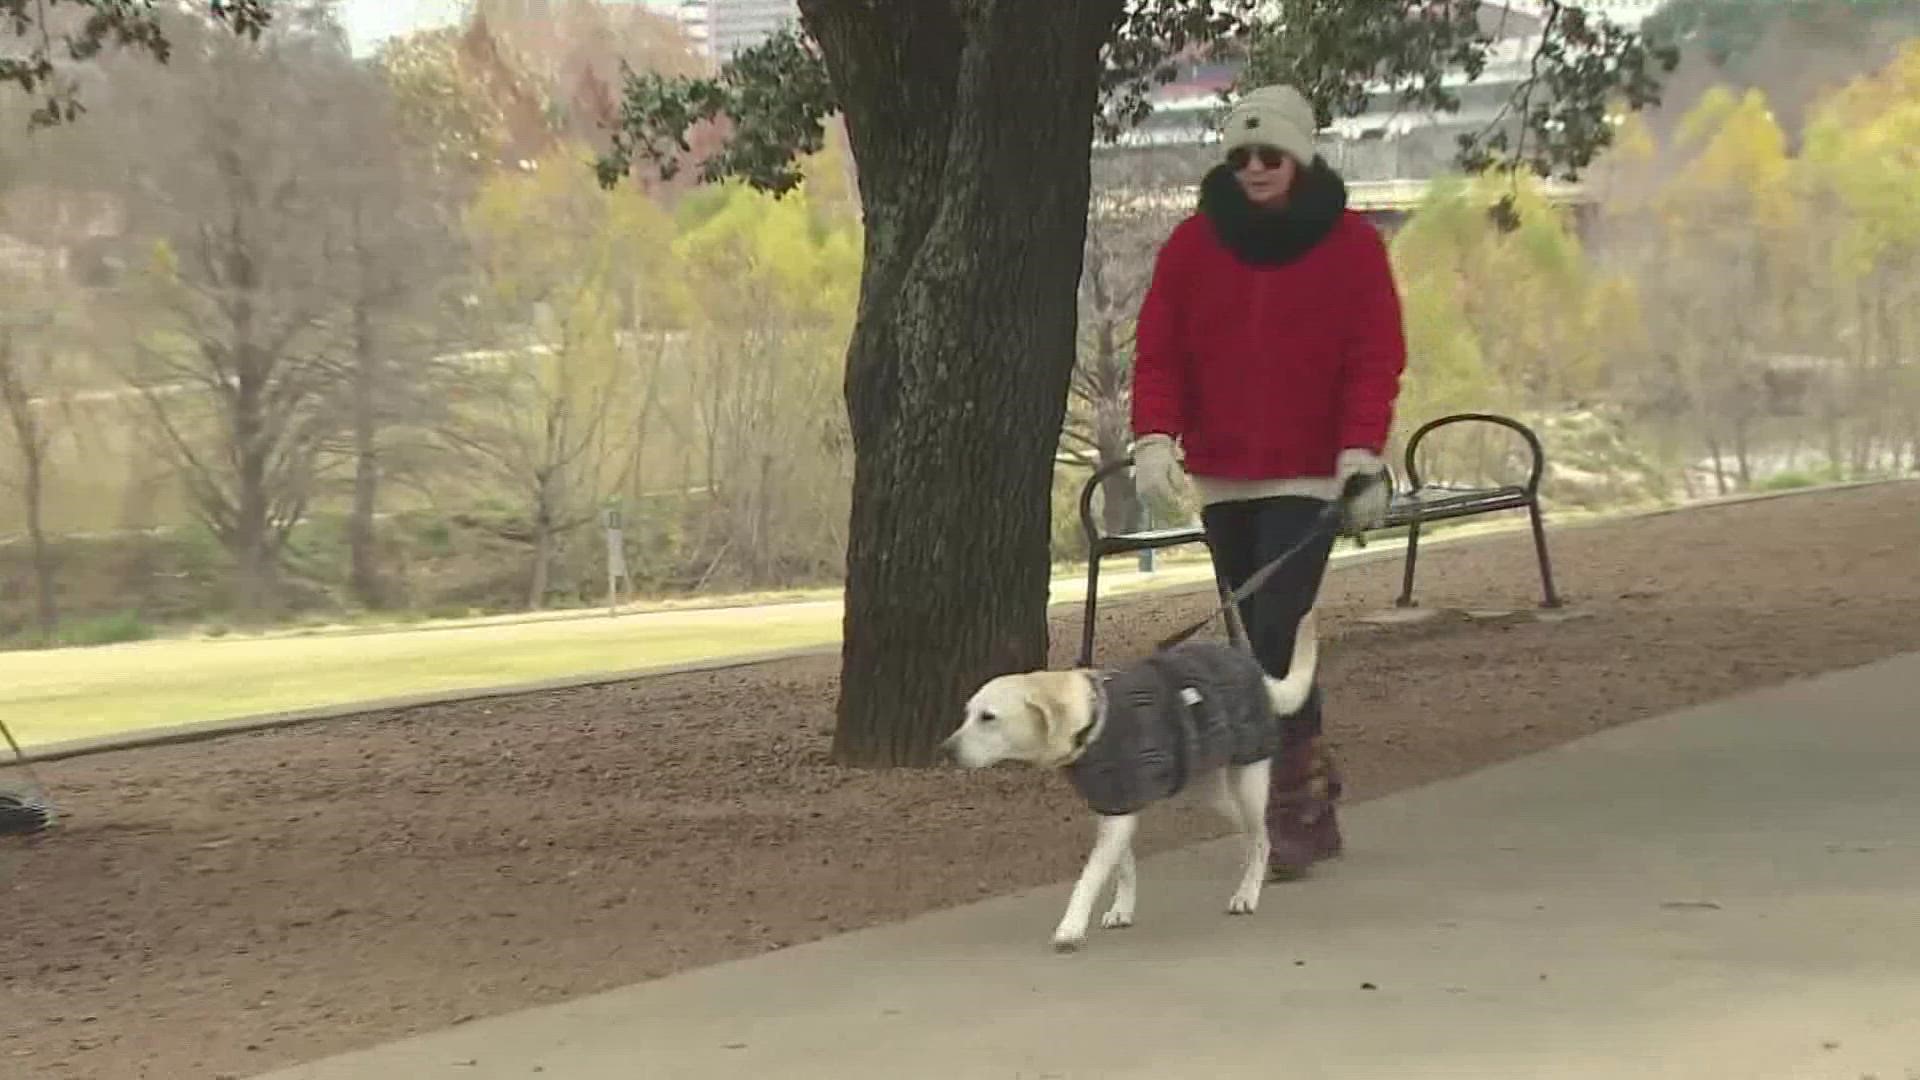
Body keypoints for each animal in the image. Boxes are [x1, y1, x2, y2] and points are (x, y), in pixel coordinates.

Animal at [936, 611, 1313, 945]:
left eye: (988, 717)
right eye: (967, 714)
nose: (946, 750)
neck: (1090, 721)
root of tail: (1254, 671)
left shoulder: (1118, 814)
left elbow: (1089, 876)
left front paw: (1071, 926)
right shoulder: (1111, 808)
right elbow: (1123, 867)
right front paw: (1122, 909)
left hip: (1249, 781)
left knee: (1261, 836)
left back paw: (1248, 892)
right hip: (1211, 790)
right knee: (1250, 835)